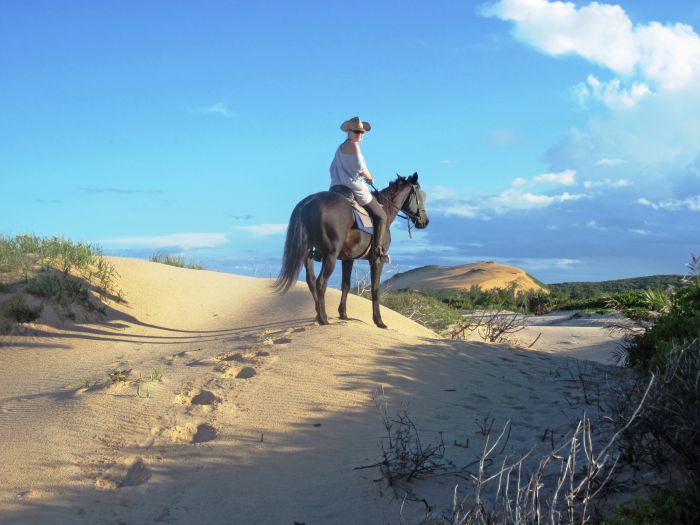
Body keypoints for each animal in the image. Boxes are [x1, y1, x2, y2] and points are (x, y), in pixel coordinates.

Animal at [276, 172, 430, 328]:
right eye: (421, 195)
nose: (425, 221)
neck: (386, 208)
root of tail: (309, 201)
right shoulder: (377, 260)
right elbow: (375, 289)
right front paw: (378, 321)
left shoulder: (348, 258)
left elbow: (346, 285)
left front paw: (343, 314)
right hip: (330, 255)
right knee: (321, 282)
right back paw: (323, 318)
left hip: (307, 254)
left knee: (311, 281)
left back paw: (318, 315)